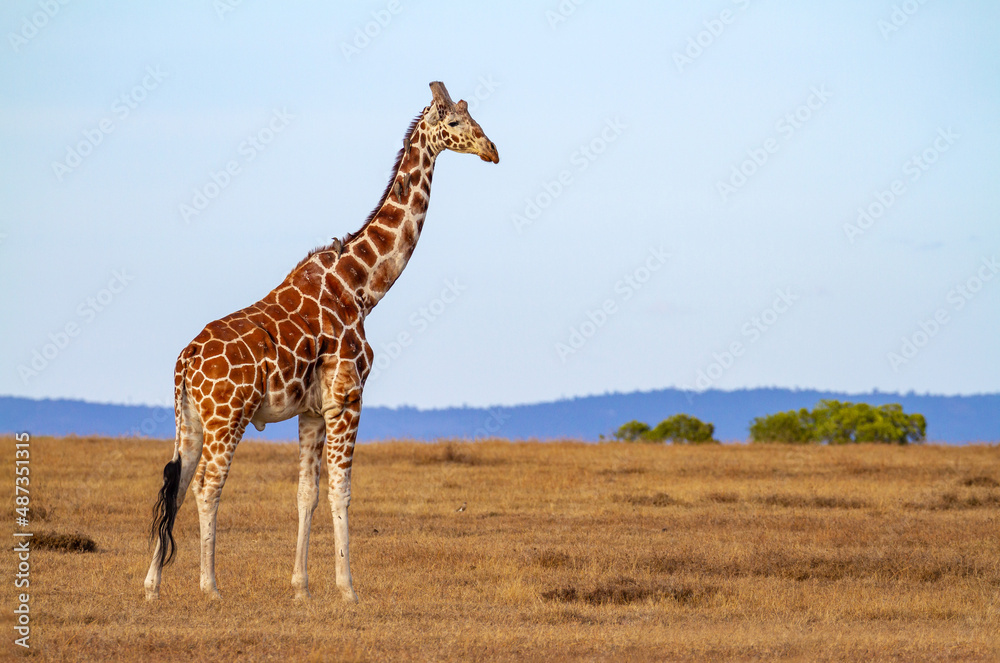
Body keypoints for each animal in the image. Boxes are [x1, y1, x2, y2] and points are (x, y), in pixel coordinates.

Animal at [144, 82, 498, 602]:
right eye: (454, 122)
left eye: (472, 117)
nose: (492, 150)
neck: (363, 286)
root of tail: (185, 361)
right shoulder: (347, 398)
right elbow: (341, 491)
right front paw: (348, 588)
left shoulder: (311, 409)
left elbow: (306, 494)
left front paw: (301, 587)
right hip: (227, 417)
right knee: (208, 486)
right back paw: (210, 586)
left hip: (188, 418)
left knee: (178, 481)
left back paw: (151, 585)